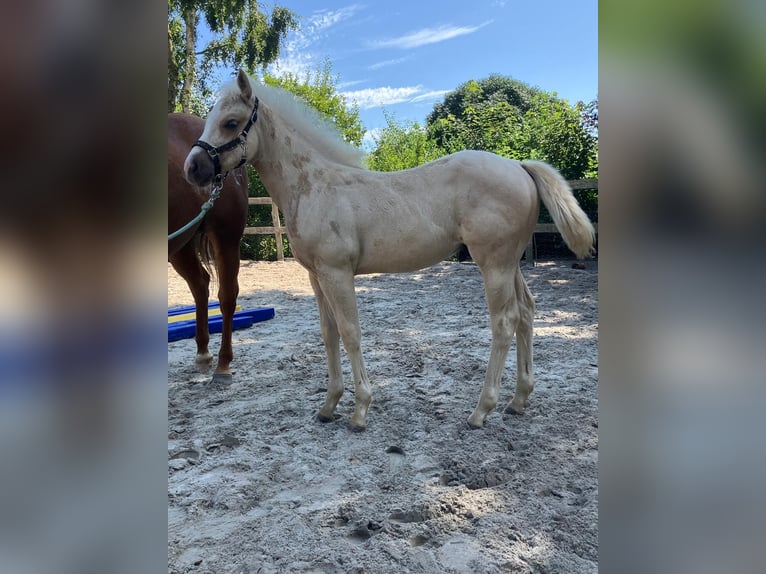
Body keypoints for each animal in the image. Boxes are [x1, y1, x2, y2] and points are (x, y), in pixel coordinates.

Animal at [168, 112, 248, 384]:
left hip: (225, 235)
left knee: (226, 296)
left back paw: (223, 364)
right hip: (180, 245)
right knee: (200, 284)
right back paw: (203, 353)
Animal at [184, 70, 595, 429]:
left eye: (232, 122)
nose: (192, 168)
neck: (314, 186)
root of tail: (519, 167)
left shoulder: (337, 273)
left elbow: (350, 332)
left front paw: (359, 411)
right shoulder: (317, 277)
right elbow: (329, 334)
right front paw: (328, 406)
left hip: (493, 264)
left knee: (504, 322)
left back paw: (481, 411)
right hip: (511, 263)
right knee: (525, 313)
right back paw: (518, 400)